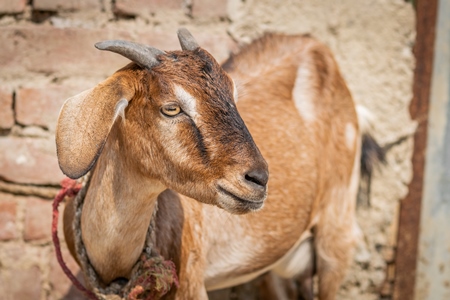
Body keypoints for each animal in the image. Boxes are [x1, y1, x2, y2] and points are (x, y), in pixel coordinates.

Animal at [56, 28, 366, 300]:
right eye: (171, 108)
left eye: (233, 96)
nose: (258, 179)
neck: (114, 261)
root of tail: (317, 48)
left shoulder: (191, 282)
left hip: (336, 231)